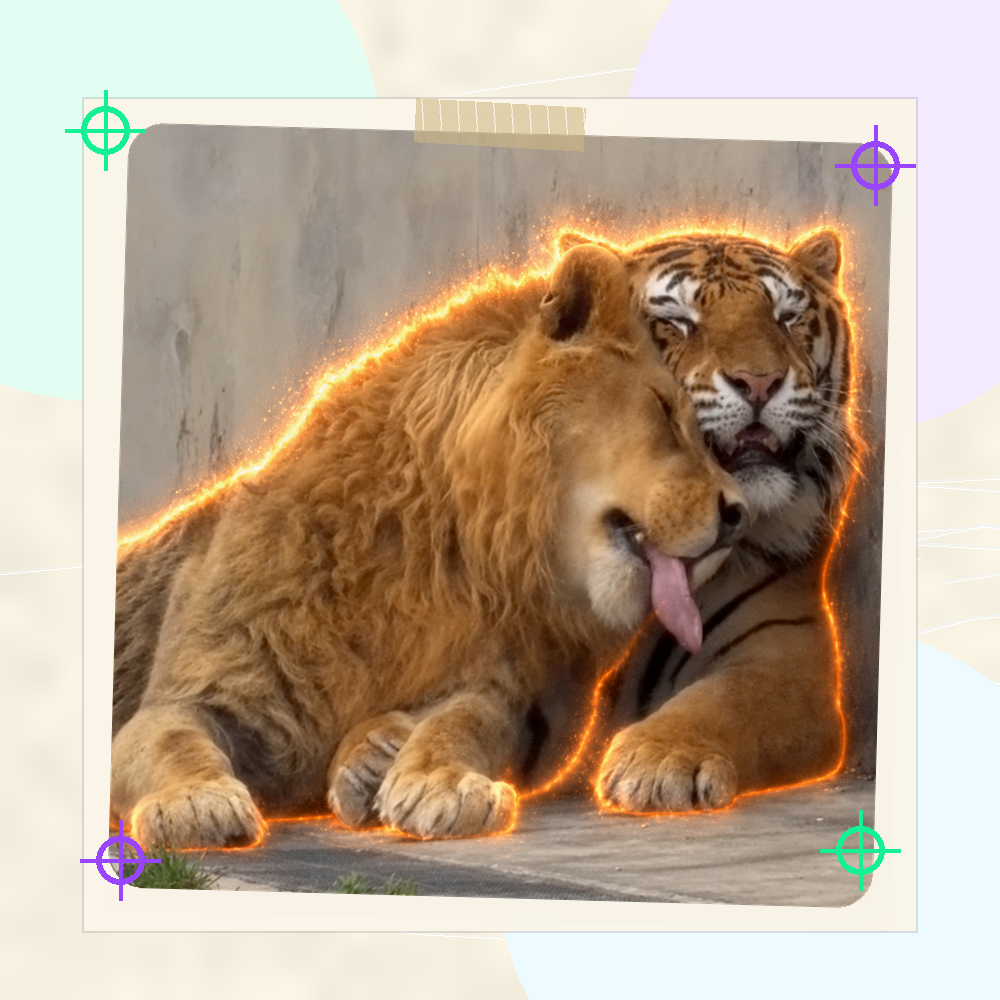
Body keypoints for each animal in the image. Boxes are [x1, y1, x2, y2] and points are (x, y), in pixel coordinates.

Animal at [110, 244, 749, 846]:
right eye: (664, 409)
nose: (739, 512)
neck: (456, 553)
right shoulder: (196, 694)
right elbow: (170, 742)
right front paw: (196, 804)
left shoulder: (505, 693)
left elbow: (467, 722)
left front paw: (426, 776)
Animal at [554, 228, 856, 814]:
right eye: (675, 321)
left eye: (787, 317)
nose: (760, 382)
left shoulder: (782, 654)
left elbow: (727, 701)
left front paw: (660, 761)